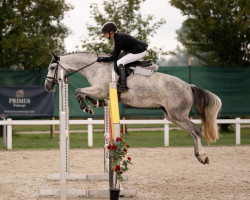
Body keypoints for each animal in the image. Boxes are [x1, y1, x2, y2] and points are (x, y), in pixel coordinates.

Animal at [44, 51, 221, 164]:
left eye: (52, 68)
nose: (47, 86)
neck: (94, 67)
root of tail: (189, 86)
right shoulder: (102, 92)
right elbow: (85, 94)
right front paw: (95, 104)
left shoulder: (99, 89)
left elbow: (78, 91)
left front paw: (86, 107)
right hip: (172, 116)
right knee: (192, 132)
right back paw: (198, 155)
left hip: (178, 115)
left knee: (196, 130)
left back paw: (203, 156)